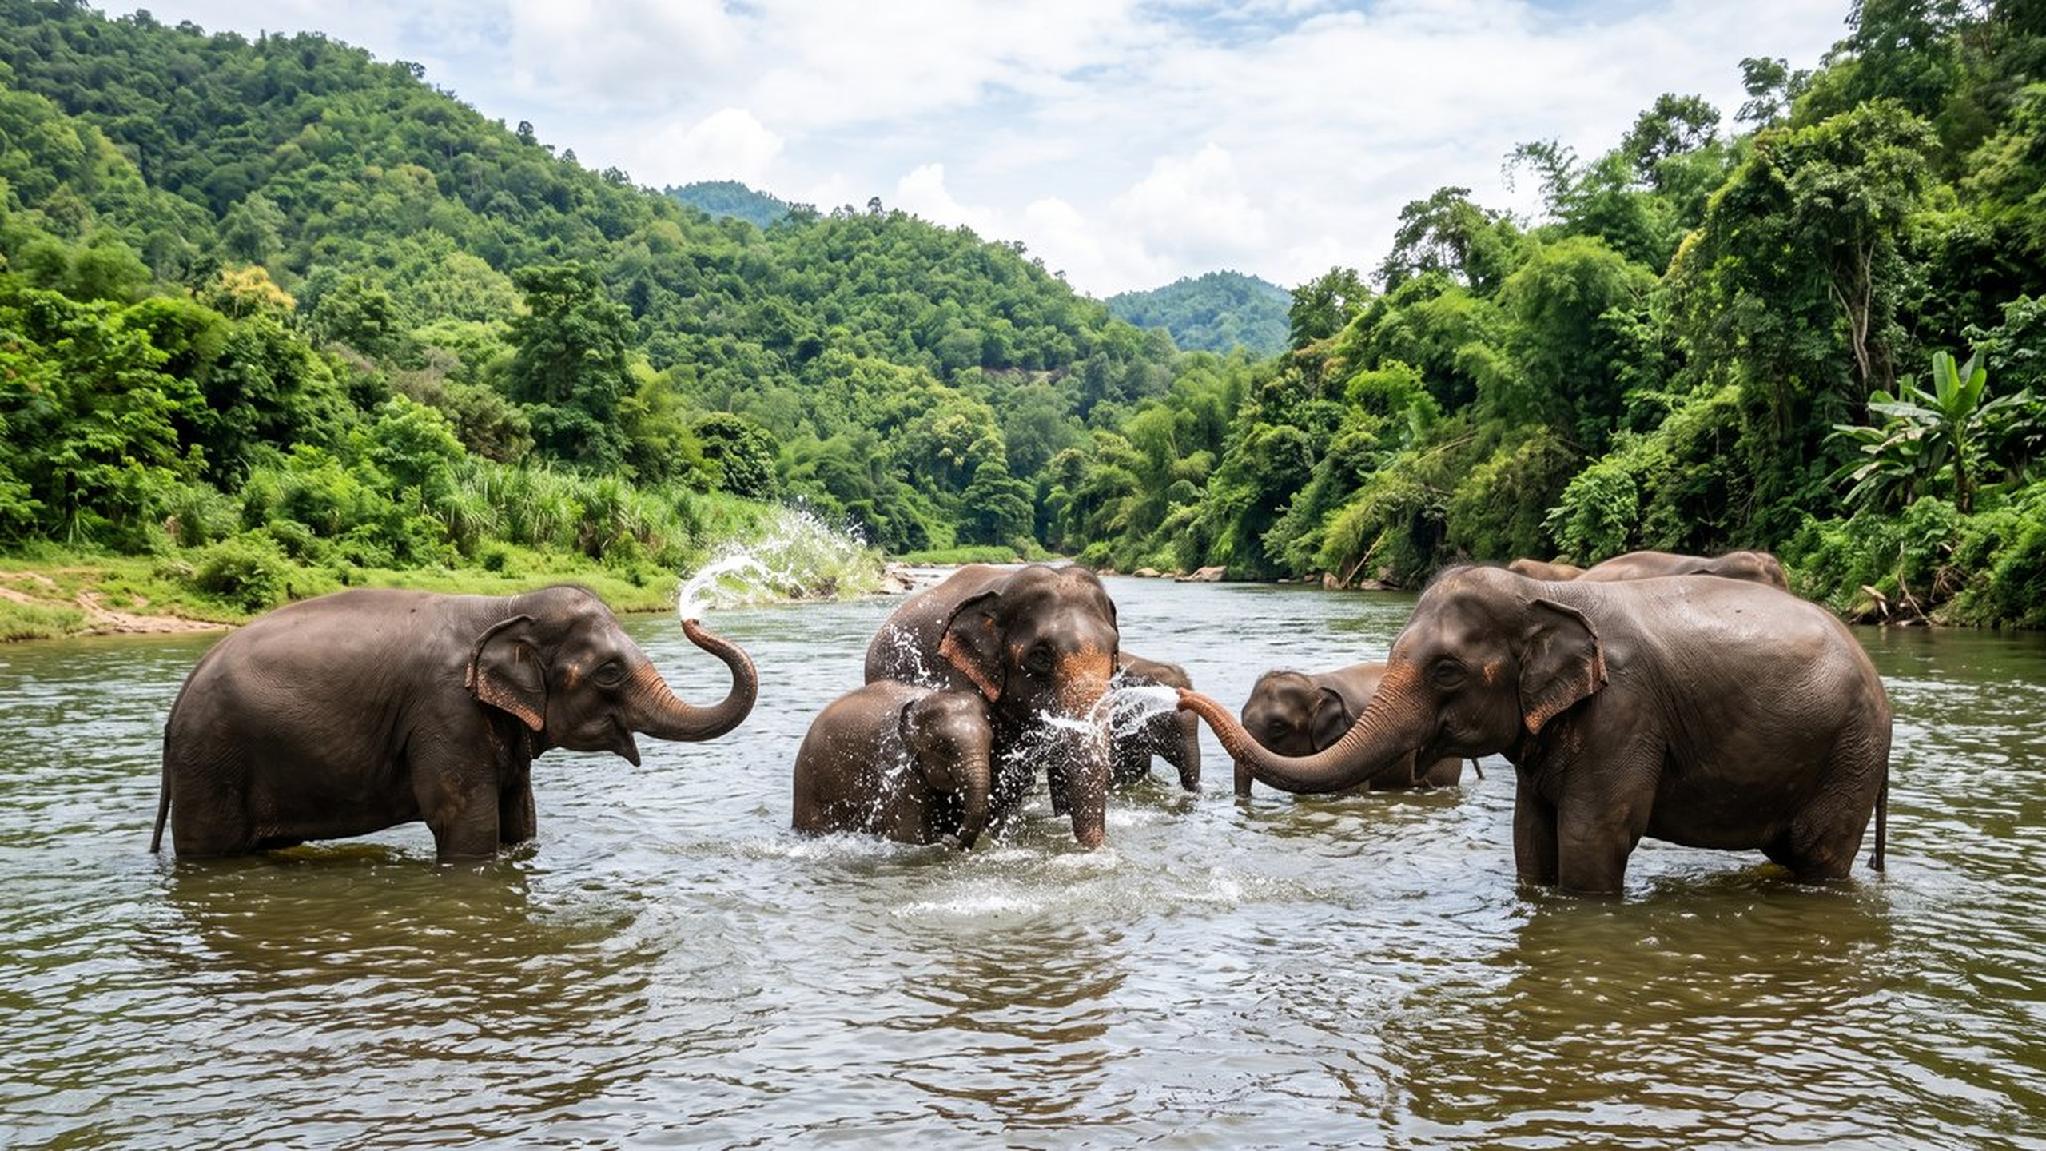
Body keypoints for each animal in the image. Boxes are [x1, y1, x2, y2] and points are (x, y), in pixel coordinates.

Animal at [153, 584, 757, 863]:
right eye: (609, 672)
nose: (692, 616)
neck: (504, 606)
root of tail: (180, 698)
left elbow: (520, 818)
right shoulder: (445, 712)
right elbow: (467, 826)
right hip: (211, 763)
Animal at [791, 680, 994, 847]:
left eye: (990, 740)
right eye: (943, 747)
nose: (951, 839)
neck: (920, 702)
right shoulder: (897, 764)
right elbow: (909, 834)